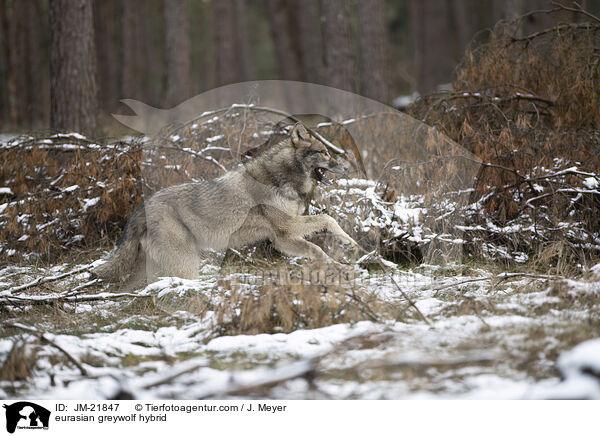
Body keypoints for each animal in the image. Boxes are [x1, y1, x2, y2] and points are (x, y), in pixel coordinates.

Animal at [94, 122, 356, 282]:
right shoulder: (288, 227)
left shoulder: (282, 238)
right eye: (325, 152)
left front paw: (342, 264)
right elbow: (327, 219)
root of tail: (141, 207)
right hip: (187, 263)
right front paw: (349, 245)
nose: (347, 166)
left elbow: (317, 250)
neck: (280, 178)